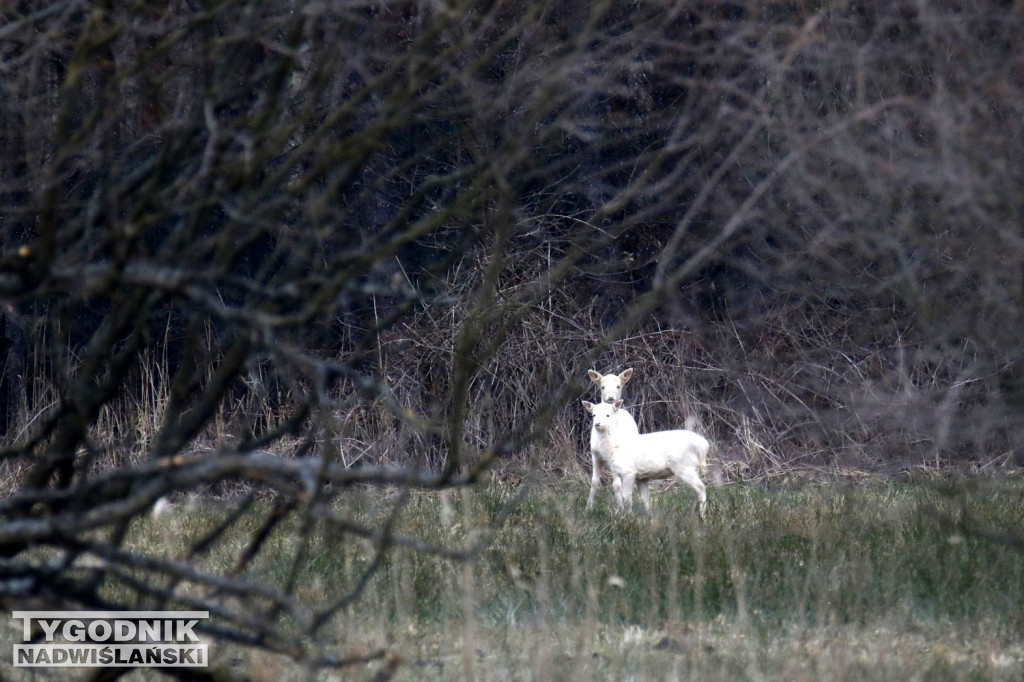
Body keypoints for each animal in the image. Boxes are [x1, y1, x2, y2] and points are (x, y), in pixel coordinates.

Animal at [585, 368, 638, 507]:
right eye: (602, 387)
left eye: (618, 386)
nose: (610, 397)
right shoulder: (595, 454)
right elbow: (594, 482)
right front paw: (588, 508)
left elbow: (616, 485)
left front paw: (620, 509)